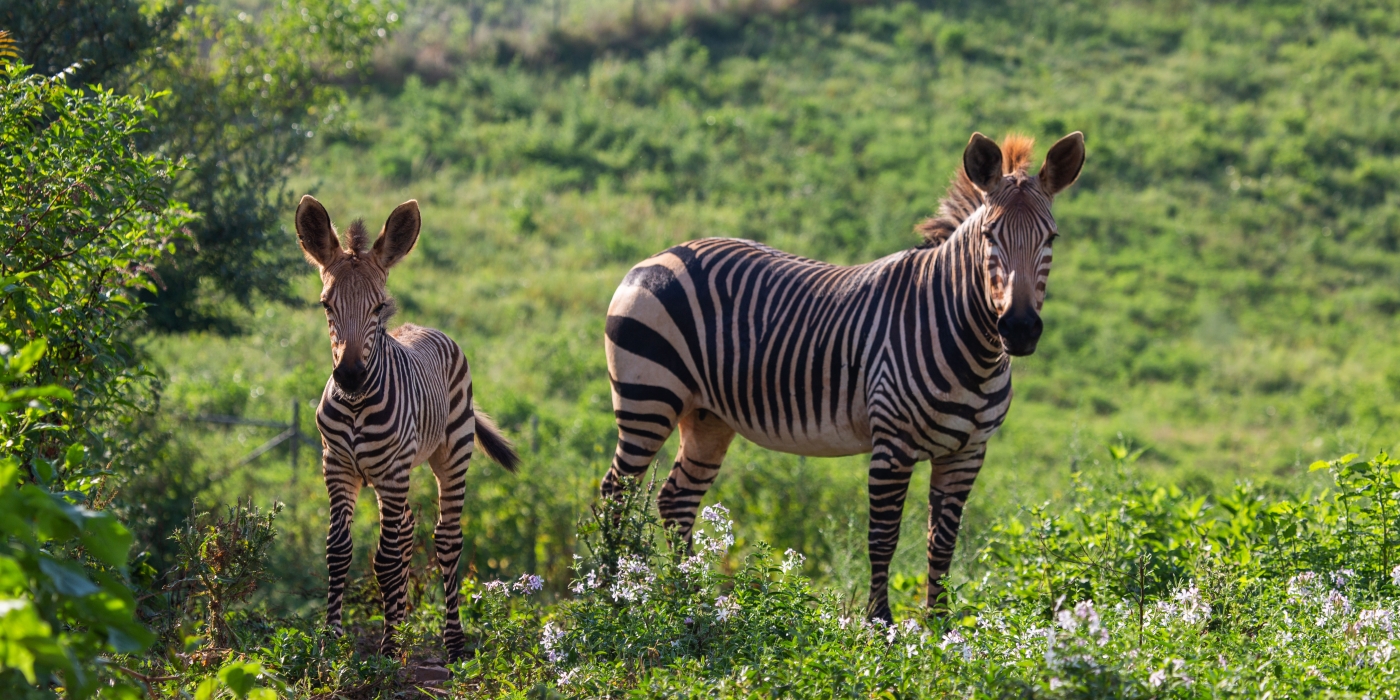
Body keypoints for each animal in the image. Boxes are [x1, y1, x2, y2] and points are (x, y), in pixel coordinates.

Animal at [295, 194, 520, 658]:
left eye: (378, 306)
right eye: (326, 304)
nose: (350, 377)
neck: (357, 405)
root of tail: (426, 329)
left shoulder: (392, 472)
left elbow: (383, 559)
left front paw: (385, 651)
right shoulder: (337, 467)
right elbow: (338, 551)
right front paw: (332, 641)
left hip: (450, 455)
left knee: (446, 540)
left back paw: (454, 644)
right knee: (404, 535)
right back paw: (401, 626)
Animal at [599, 130, 1080, 618]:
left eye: (1051, 237)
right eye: (989, 236)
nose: (1019, 329)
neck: (969, 345)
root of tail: (660, 255)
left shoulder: (967, 453)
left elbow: (941, 547)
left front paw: (940, 626)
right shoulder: (893, 444)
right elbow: (883, 540)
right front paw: (880, 625)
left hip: (707, 416)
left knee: (675, 498)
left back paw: (690, 600)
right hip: (647, 398)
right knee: (616, 493)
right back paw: (609, 600)